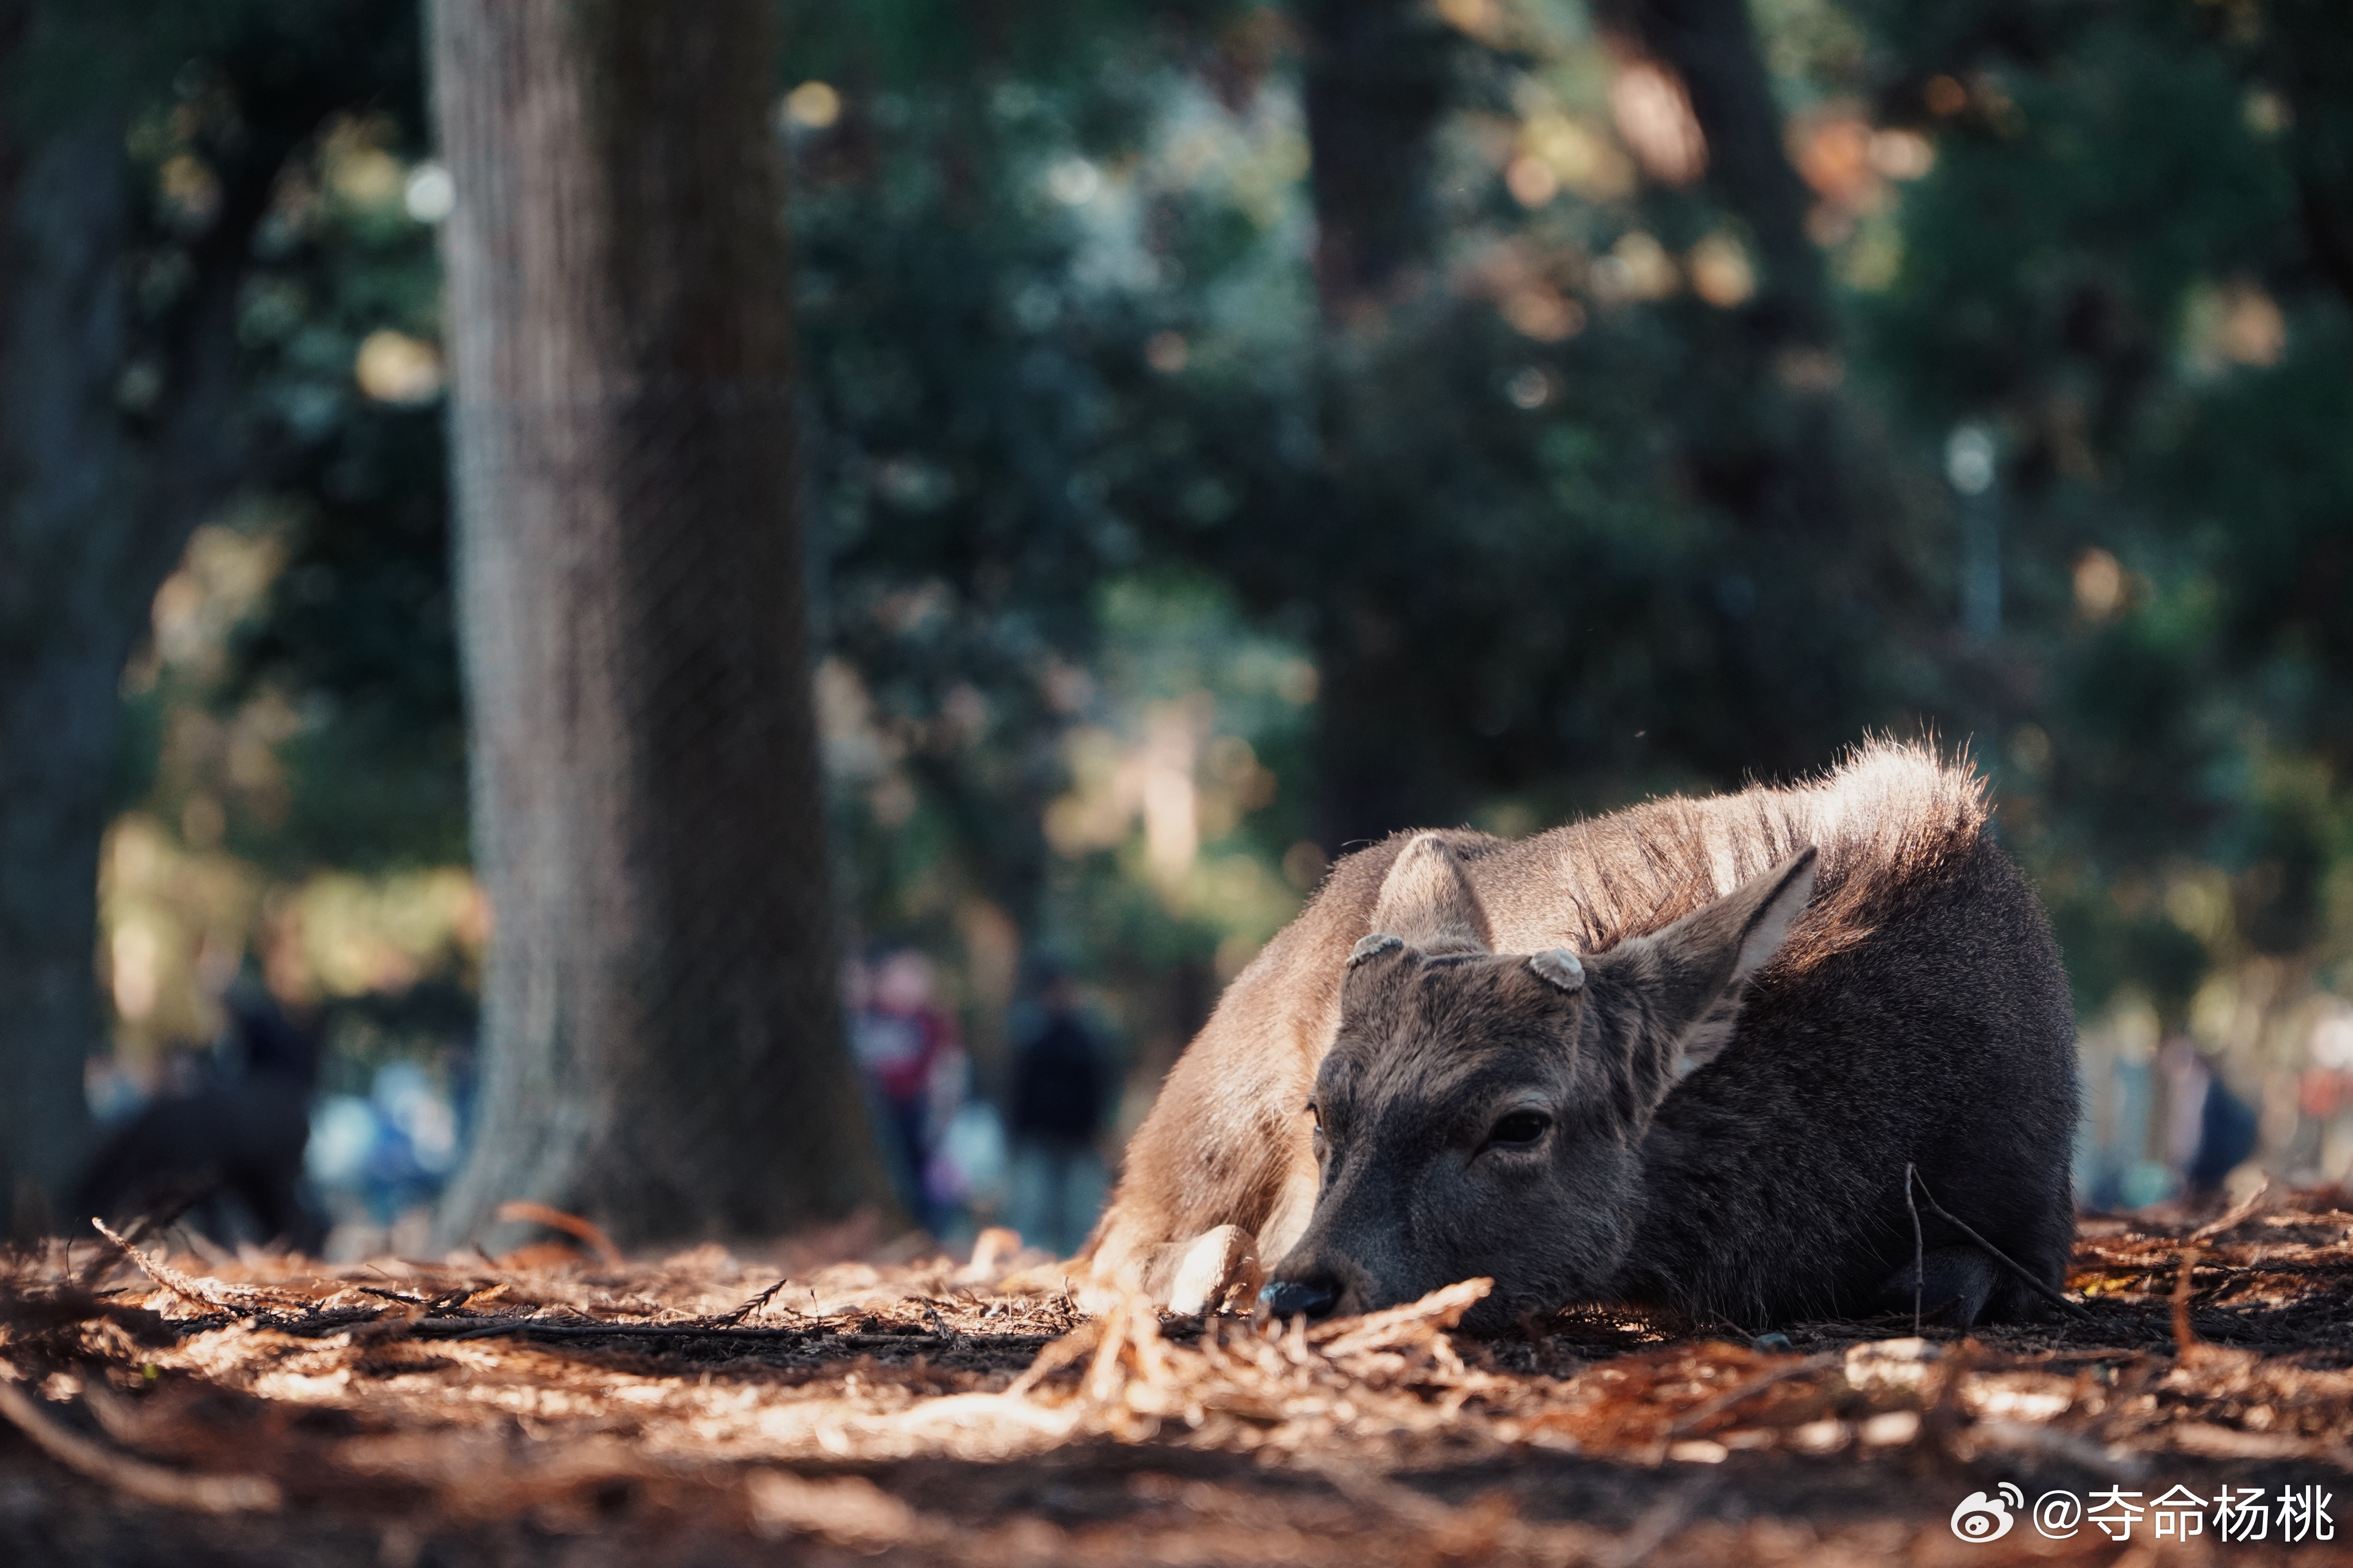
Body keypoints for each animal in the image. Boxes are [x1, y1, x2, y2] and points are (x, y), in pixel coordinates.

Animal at [1082, 743, 2080, 1335]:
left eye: (1521, 1122)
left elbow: (1942, 1285)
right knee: (1117, 1238)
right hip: (1211, 1110)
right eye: (1323, 1110)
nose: (1303, 1290)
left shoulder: (2037, 1219)